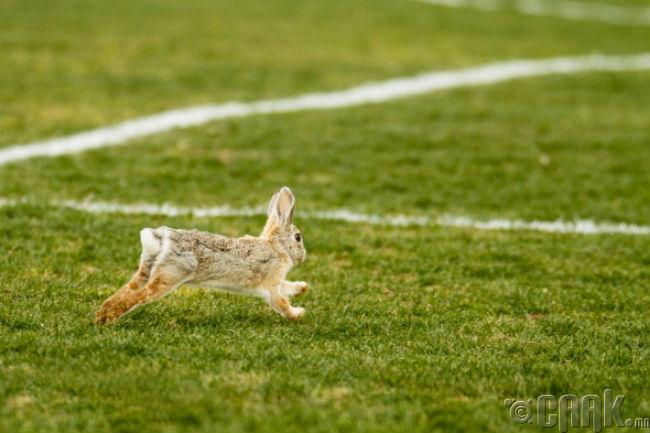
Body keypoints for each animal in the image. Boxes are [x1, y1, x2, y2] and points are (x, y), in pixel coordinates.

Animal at [95, 186, 308, 324]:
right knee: (141, 294)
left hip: (147, 269)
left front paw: (302, 287)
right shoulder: (271, 285)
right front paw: (298, 313)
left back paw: (101, 315)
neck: (277, 246)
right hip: (170, 275)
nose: (303, 256)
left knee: (128, 289)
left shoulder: (278, 281)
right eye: (298, 237)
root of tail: (161, 238)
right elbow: (281, 302)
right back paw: (108, 319)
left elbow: (288, 287)